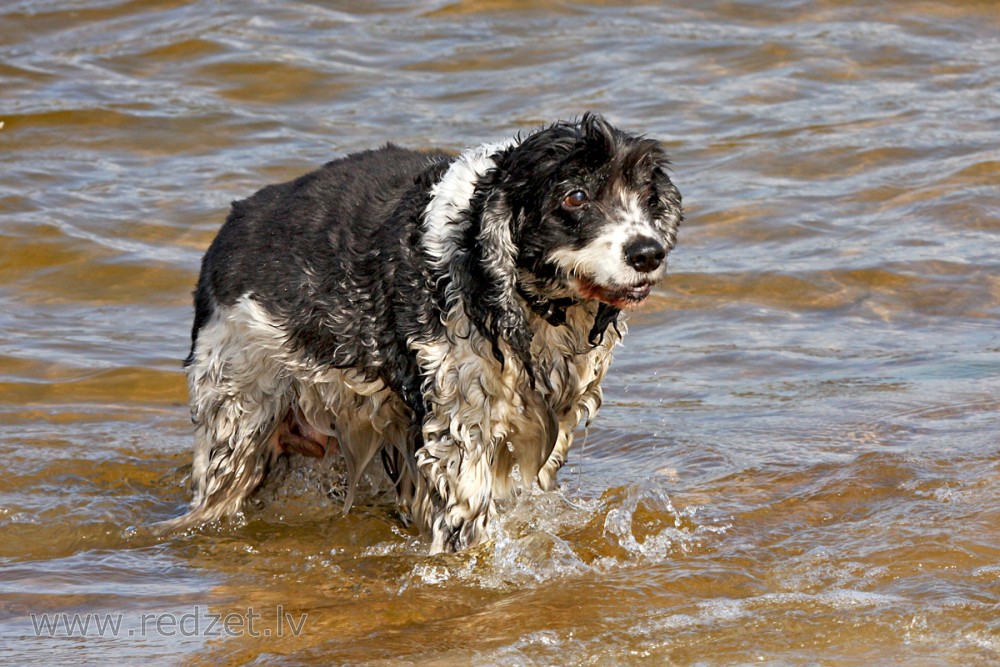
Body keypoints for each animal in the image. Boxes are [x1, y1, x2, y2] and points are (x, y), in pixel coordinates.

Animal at [164, 115, 684, 552]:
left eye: (647, 197)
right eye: (575, 196)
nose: (648, 252)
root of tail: (225, 236)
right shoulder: (460, 430)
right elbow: (466, 513)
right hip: (236, 424)